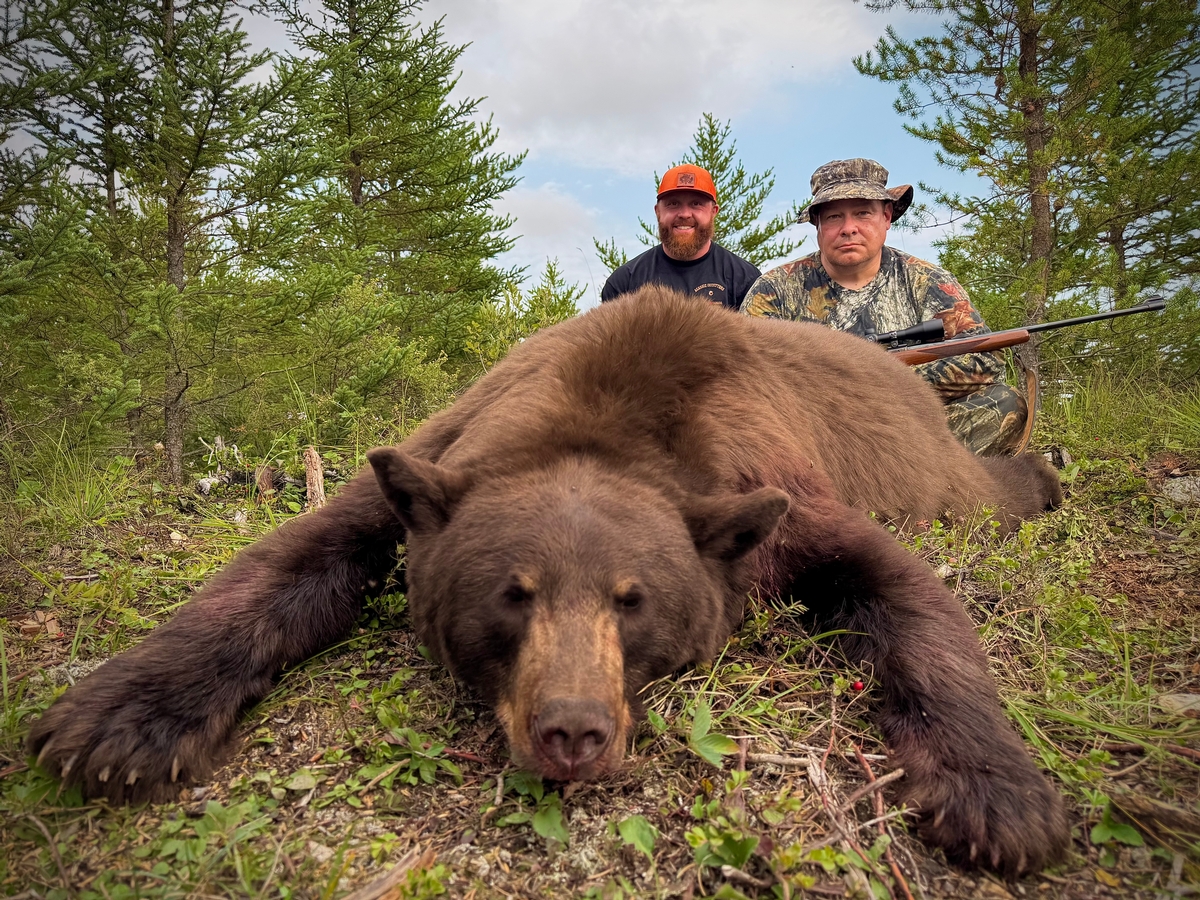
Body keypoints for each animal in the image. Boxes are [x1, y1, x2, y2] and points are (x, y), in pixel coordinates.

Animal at [28, 286, 1069, 876]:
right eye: (512, 594)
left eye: (632, 601)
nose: (573, 731)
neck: (607, 412)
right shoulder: (442, 458)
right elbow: (290, 558)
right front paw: (121, 720)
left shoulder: (767, 491)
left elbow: (907, 593)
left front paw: (996, 797)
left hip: (936, 466)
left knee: (982, 490)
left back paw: (1043, 468)